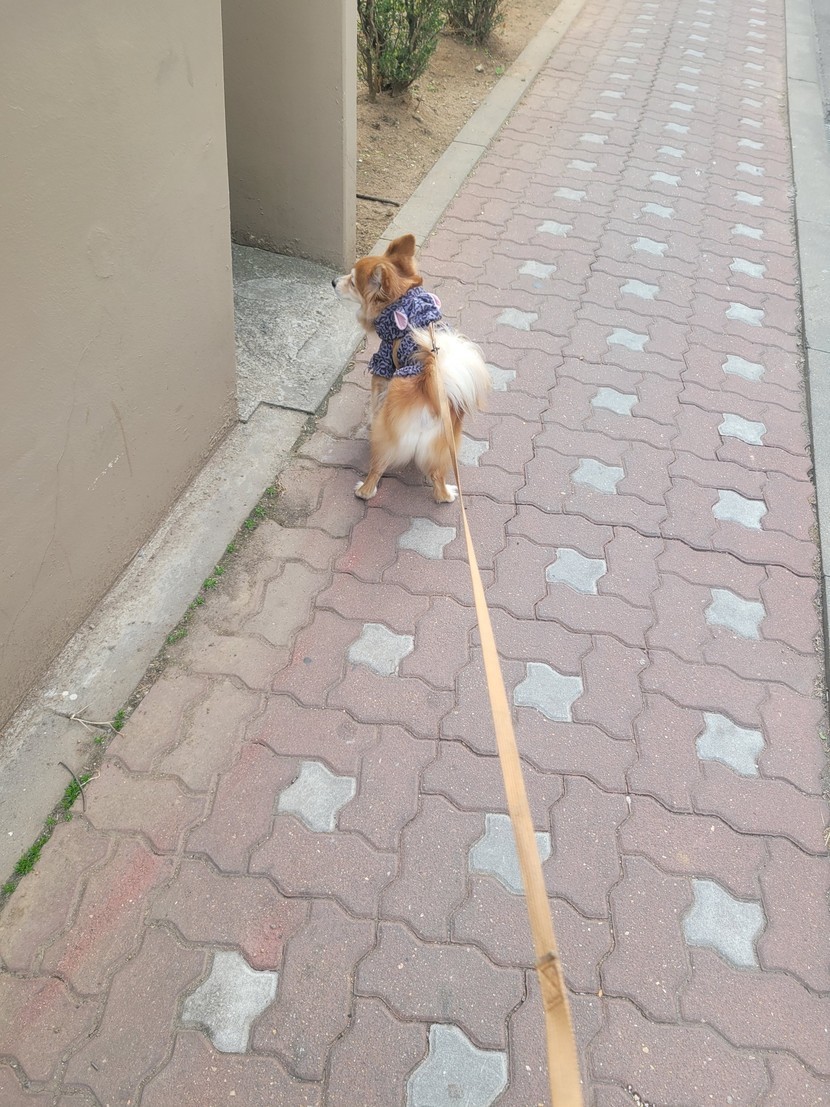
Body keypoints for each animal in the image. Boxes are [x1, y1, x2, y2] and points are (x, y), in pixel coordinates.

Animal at [333, 234, 491, 503]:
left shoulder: (382, 367)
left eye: (352, 282)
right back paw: (446, 494)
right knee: (438, 477)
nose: (333, 281)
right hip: (444, 445)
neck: (403, 302)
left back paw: (364, 490)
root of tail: (429, 389)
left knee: (377, 469)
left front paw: (369, 421)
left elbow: (375, 400)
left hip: (387, 439)